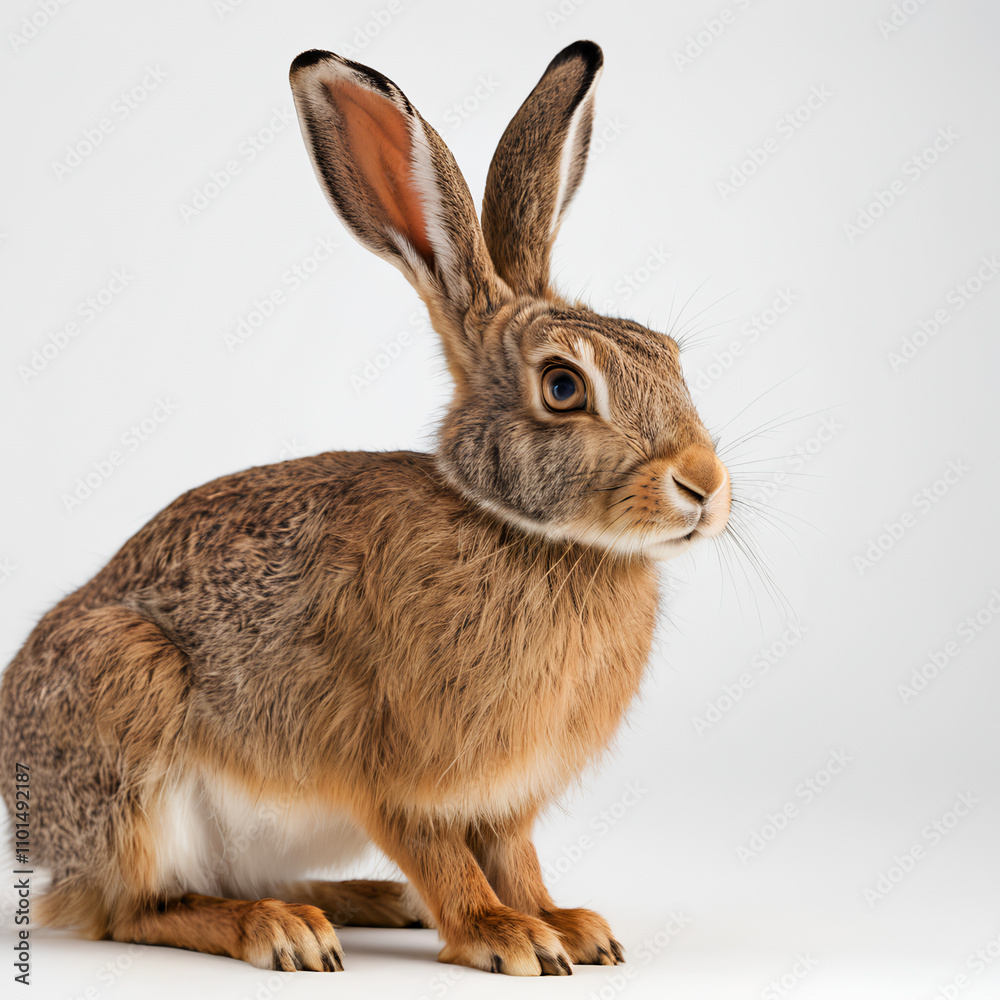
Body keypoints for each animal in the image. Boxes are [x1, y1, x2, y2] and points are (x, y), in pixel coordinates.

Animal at [0, 40, 730, 976]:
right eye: (564, 387)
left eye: (669, 355)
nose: (704, 485)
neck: (529, 534)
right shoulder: (395, 777)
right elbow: (444, 858)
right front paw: (508, 939)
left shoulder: (508, 801)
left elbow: (515, 857)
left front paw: (570, 926)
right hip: (129, 709)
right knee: (133, 906)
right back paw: (283, 931)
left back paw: (367, 903)